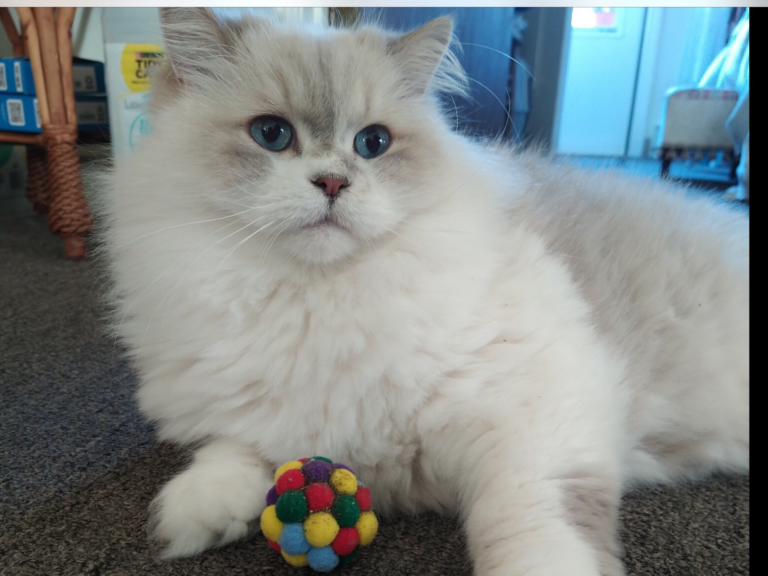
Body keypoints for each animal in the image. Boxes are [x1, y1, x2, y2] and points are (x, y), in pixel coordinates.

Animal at [97, 10, 752, 576]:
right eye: (272, 134)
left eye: (373, 144)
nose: (332, 183)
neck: (322, 299)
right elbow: (236, 450)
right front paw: (192, 516)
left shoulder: (536, 427)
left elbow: (533, 529)